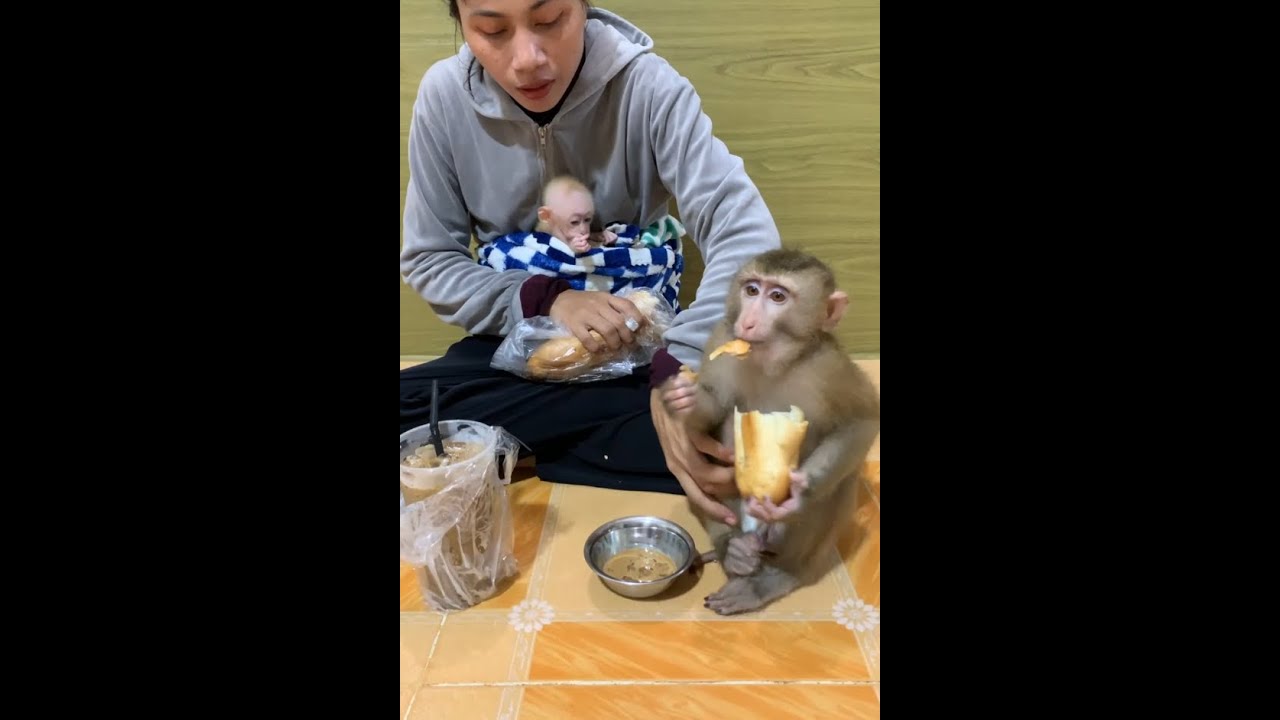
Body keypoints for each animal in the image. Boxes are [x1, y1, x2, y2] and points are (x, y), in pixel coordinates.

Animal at [660, 249, 880, 615]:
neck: (772, 362)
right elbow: (714, 412)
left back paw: (778, 577)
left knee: (838, 486)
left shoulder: (830, 366)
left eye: (778, 297)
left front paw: (800, 493)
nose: (747, 322)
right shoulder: (723, 338)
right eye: (752, 290)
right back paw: (732, 550)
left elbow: (862, 420)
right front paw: (684, 400)